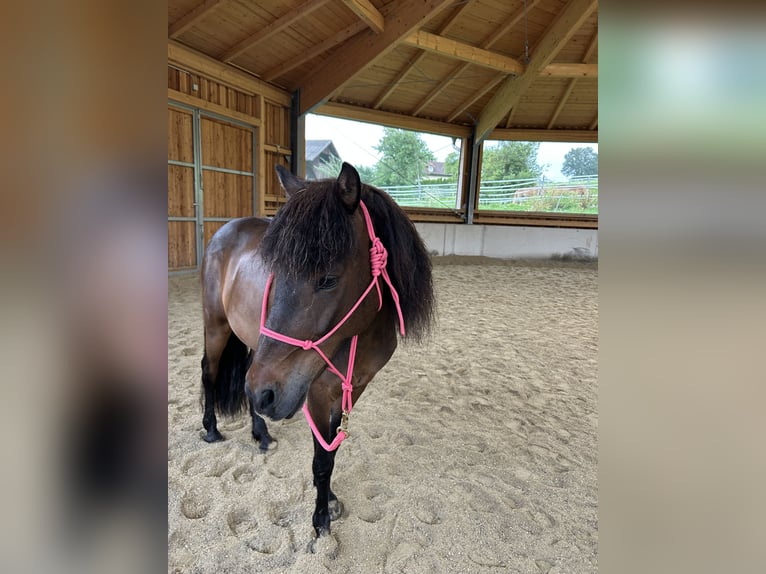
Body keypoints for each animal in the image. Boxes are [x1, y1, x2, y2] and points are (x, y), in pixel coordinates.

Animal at [199, 162, 435, 537]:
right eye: (274, 272)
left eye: (328, 279)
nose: (268, 393)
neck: (358, 334)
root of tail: (226, 229)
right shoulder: (317, 390)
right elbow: (322, 459)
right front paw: (321, 519)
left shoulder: (353, 387)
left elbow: (332, 450)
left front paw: (330, 497)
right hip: (217, 326)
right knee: (210, 372)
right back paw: (210, 429)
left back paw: (261, 434)